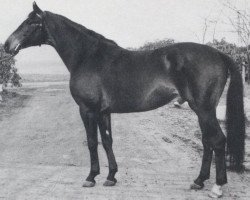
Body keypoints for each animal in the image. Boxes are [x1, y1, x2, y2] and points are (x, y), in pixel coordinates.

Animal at [4, 1, 245, 198]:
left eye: (31, 22)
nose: (7, 45)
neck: (87, 56)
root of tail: (218, 54)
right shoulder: (103, 112)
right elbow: (107, 141)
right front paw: (111, 177)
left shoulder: (87, 110)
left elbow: (92, 142)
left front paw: (90, 178)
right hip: (201, 110)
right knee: (207, 142)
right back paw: (199, 181)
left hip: (204, 109)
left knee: (217, 141)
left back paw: (217, 187)